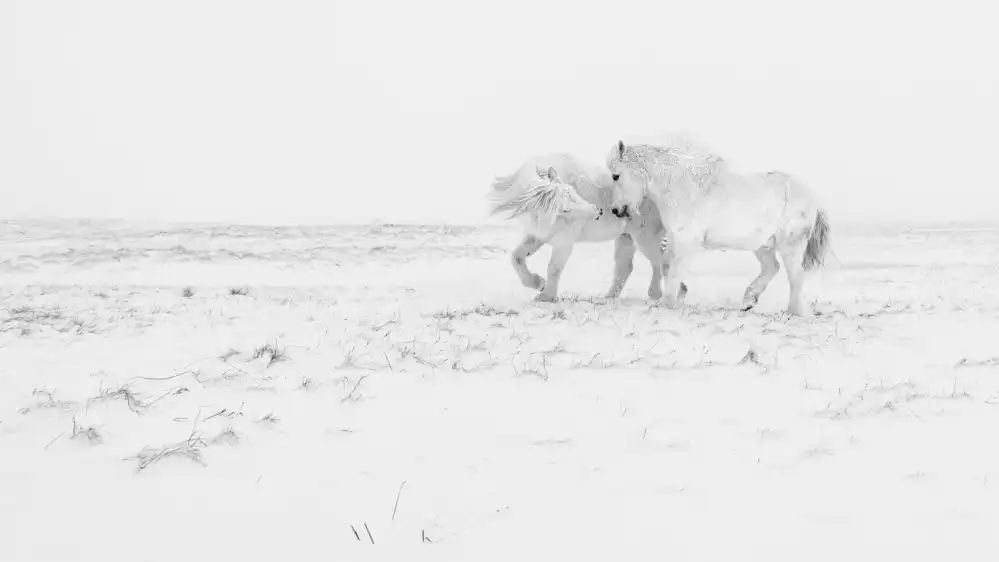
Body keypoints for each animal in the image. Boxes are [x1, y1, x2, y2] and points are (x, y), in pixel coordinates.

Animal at [488, 153, 687, 302]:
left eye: (572, 191)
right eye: (564, 208)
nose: (598, 211)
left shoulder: (565, 240)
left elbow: (554, 268)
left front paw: (546, 296)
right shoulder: (538, 234)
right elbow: (517, 257)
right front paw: (537, 283)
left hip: (644, 234)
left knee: (660, 260)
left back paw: (662, 293)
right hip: (626, 235)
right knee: (625, 266)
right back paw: (607, 298)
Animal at [604, 138, 831, 316]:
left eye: (616, 175)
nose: (616, 210)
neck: (680, 188)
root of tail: (812, 200)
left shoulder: (687, 242)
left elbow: (674, 270)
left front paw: (666, 303)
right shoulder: (676, 239)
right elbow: (667, 265)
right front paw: (675, 298)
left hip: (790, 245)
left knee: (796, 277)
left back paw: (794, 311)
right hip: (762, 245)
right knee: (772, 268)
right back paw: (749, 301)